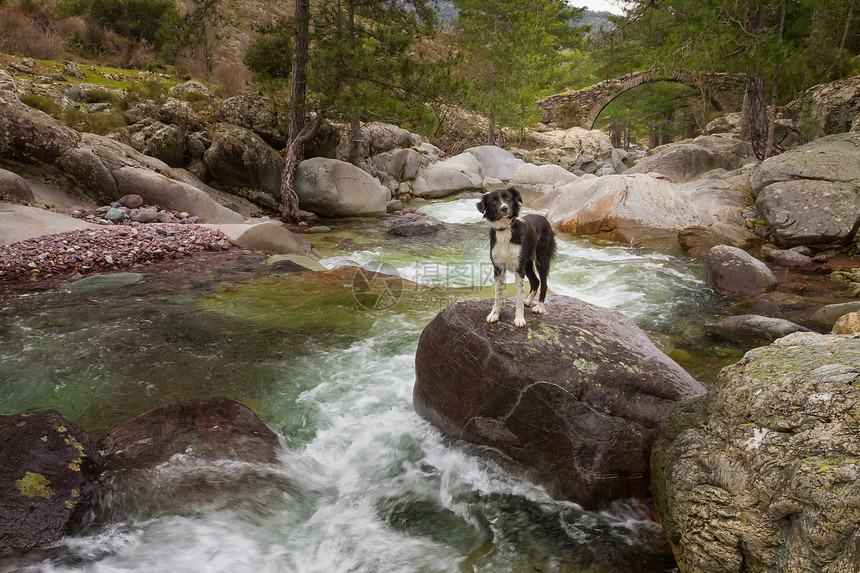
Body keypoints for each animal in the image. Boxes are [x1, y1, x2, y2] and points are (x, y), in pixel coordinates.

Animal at [478, 189, 556, 326]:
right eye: (494, 201)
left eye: (508, 198)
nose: (504, 208)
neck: (505, 230)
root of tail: (543, 218)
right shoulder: (498, 268)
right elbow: (497, 295)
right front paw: (495, 314)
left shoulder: (519, 270)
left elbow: (519, 297)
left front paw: (519, 319)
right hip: (527, 263)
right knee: (536, 281)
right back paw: (528, 301)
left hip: (541, 259)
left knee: (544, 283)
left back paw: (539, 307)